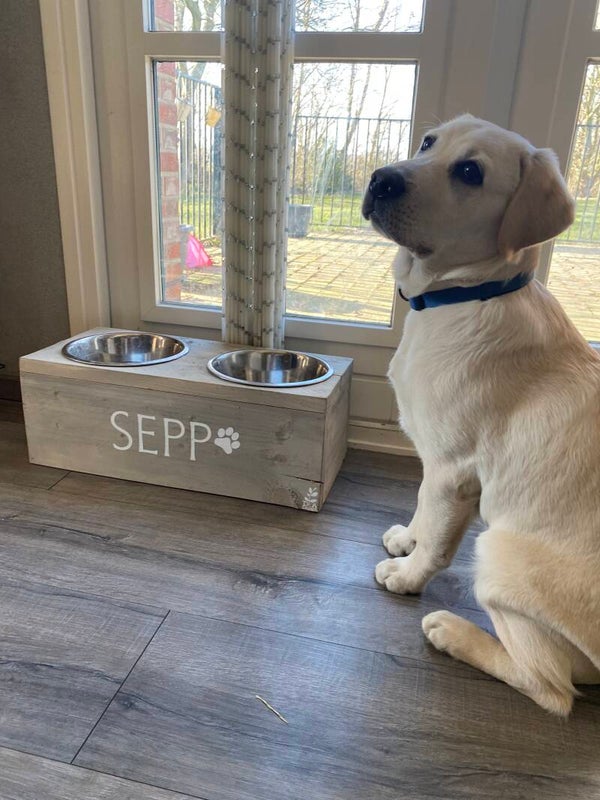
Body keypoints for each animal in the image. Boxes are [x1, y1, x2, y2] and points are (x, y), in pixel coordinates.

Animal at [362, 114, 600, 716]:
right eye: (428, 142)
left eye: (470, 172)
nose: (381, 179)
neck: (469, 295)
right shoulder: (436, 466)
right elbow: (424, 509)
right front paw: (406, 539)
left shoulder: (455, 468)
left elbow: (437, 541)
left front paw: (407, 575)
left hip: (498, 554)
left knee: (551, 688)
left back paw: (453, 631)